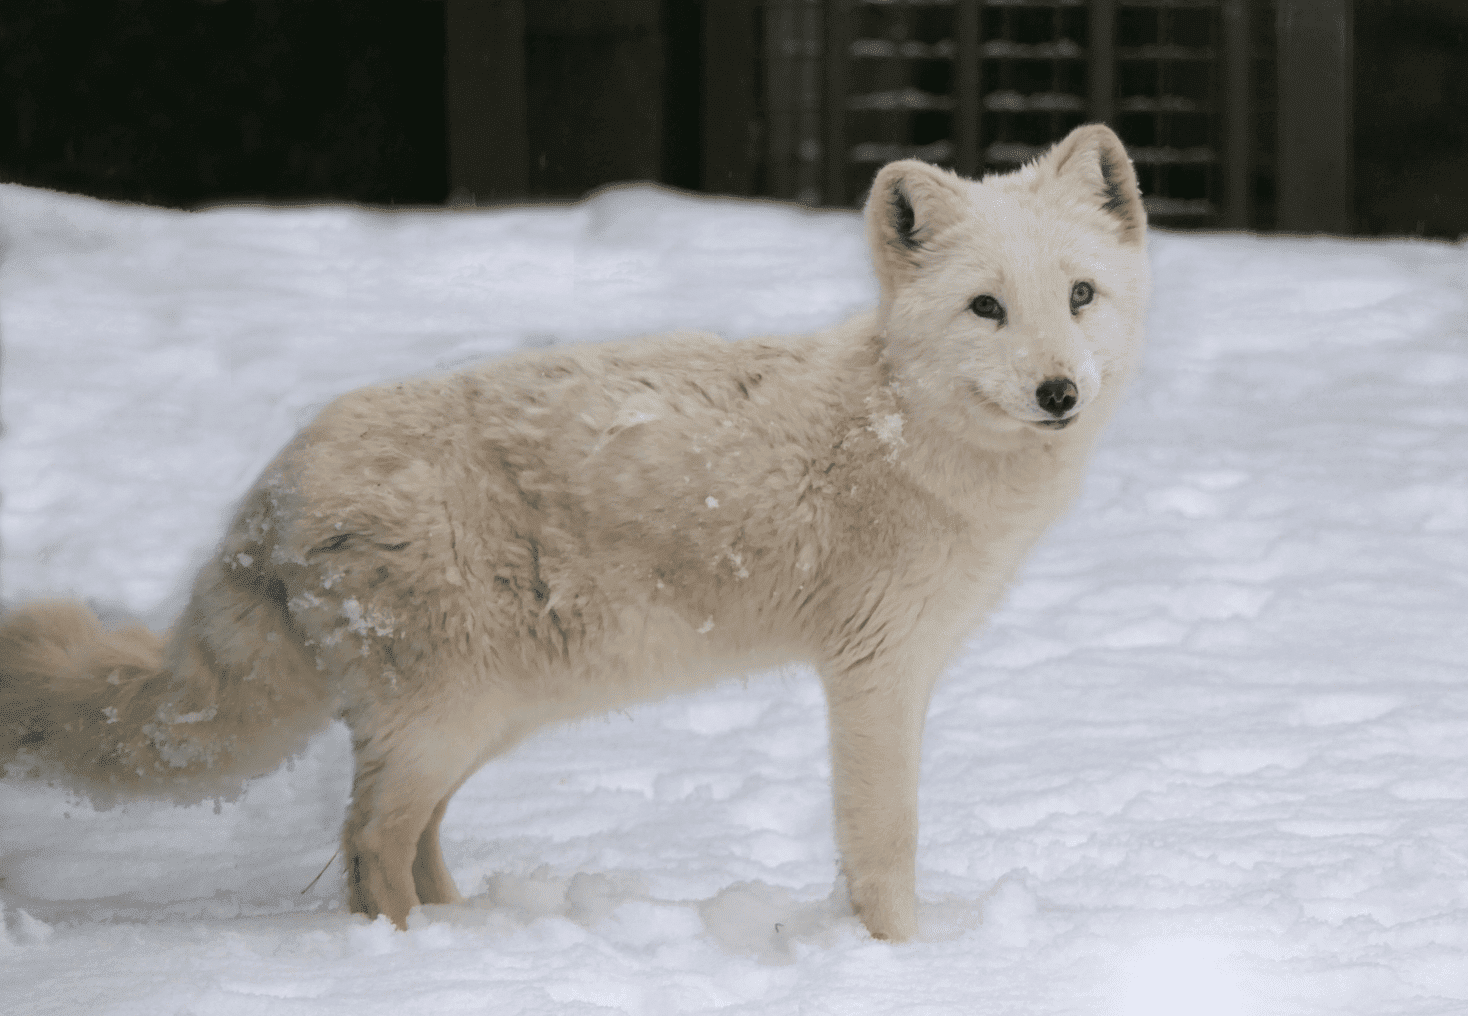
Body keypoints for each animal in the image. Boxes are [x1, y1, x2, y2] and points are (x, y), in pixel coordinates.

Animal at [0, 124, 1148, 942]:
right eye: (986, 308)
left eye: (1080, 296)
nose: (1059, 392)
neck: (899, 430)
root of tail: (274, 485)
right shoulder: (873, 676)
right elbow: (885, 850)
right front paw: (903, 962)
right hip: (452, 718)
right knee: (369, 841)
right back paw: (416, 960)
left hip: (482, 720)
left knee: (405, 837)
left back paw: (466, 930)